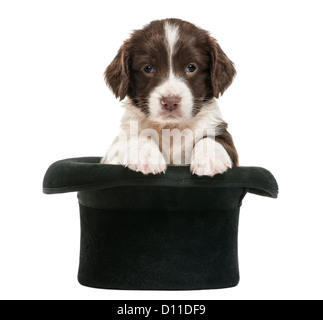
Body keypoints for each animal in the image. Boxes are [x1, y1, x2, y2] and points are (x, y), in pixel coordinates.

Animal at [102, 18, 239, 176]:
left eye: (191, 67)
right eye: (148, 68)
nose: (170, 102)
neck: (171, 127)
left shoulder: (218, 129)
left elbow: (214, 139)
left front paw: (210, 158)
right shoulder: (113, 150)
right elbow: (136, 136)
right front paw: (146, 155)